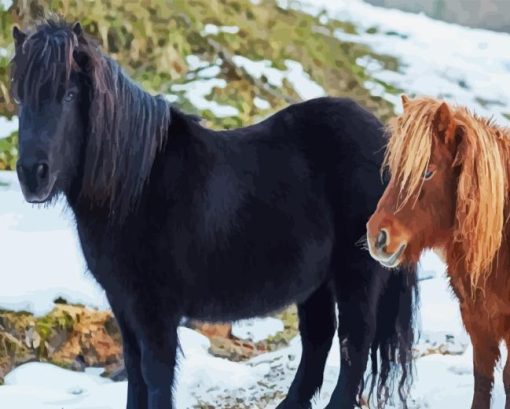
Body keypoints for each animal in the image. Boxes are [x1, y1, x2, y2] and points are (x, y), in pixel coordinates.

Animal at [11, 19, 416, 409]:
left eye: (69, 95)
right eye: (19, 97)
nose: (32, 174)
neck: (135, 187)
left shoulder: (155, 311)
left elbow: (155, 376)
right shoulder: (123, 305)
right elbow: (135, 374)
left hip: (356, 274)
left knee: (354, 344)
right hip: (316, 283)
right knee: (318, 340)